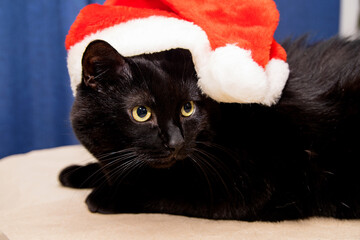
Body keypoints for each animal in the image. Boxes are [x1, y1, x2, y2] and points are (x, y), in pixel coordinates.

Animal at [60, 38, 360, 221]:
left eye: (188, 108)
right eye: (141, 113)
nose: (175, 141)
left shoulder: (247, 185)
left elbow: (162, 187)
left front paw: (106, 194)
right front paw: (77, 172)